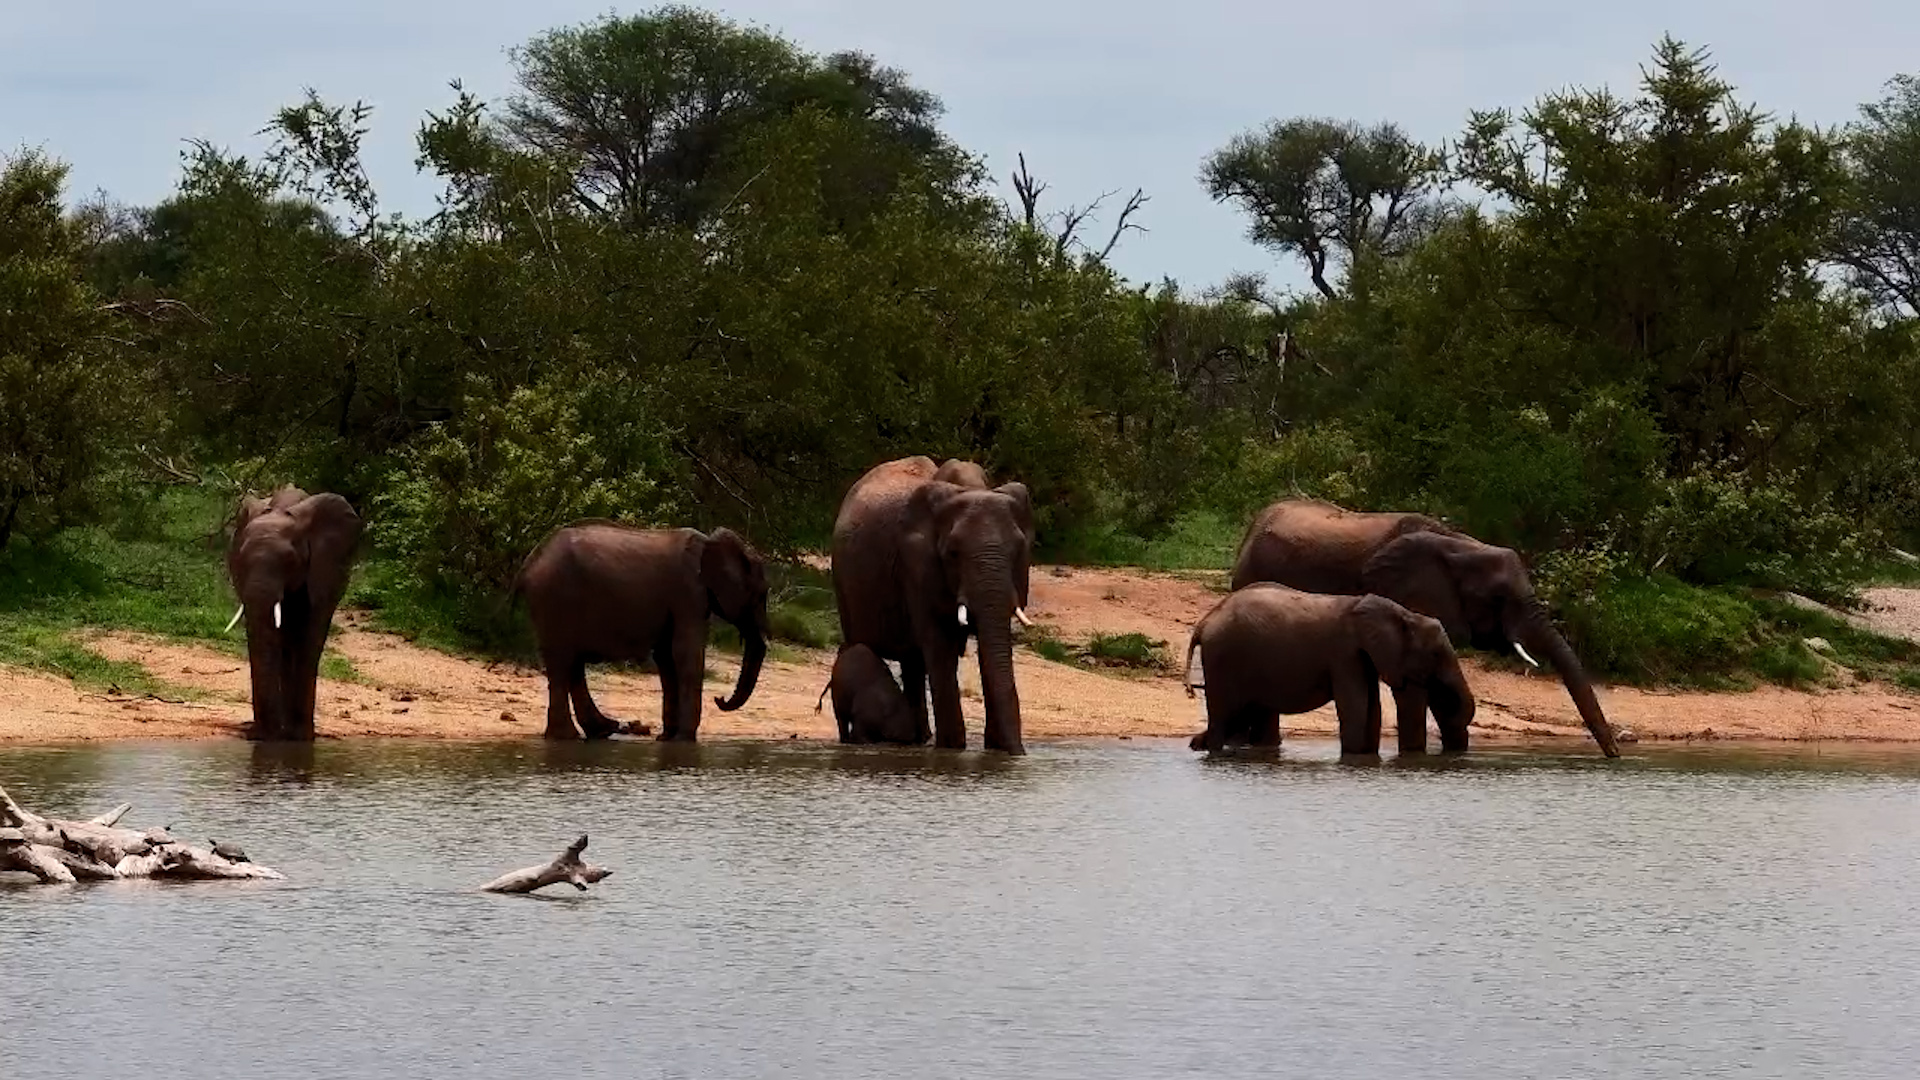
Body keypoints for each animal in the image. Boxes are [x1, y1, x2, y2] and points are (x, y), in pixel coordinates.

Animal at [224, 486, 363, 741]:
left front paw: (300, 738)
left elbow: (310, 639)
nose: (259, 735)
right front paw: (272, 737)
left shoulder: (324, 570)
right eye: (240, 559)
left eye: (290, 562)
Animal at [514, 521, 769, 741]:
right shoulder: (688, 593)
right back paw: (569, 736)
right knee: (563, 662)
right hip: (555, 599)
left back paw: (600, 731)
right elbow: (686, 654)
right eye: (760, 596)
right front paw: (684, 739)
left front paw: (667, 738)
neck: (709, 543)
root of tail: (530, 561)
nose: (720, 698)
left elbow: (667, 658)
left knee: (571, 664)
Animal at [831, 456, 1035, 754]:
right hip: (844, 581)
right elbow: (940, 647)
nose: (1018, 753)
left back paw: (920, 739)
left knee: (913, 662)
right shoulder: (917, 566)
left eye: (1019, 550)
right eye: (952, 553)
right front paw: (953, 749)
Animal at [1183, 583, 1476, 756]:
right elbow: (1356, 707)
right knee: (1224, 715)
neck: (1403, 612)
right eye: (1436, 654)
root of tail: (1205, 621)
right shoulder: (1344, 653)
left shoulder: (1362, 656)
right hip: (1223, 658)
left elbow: (1372, 708)